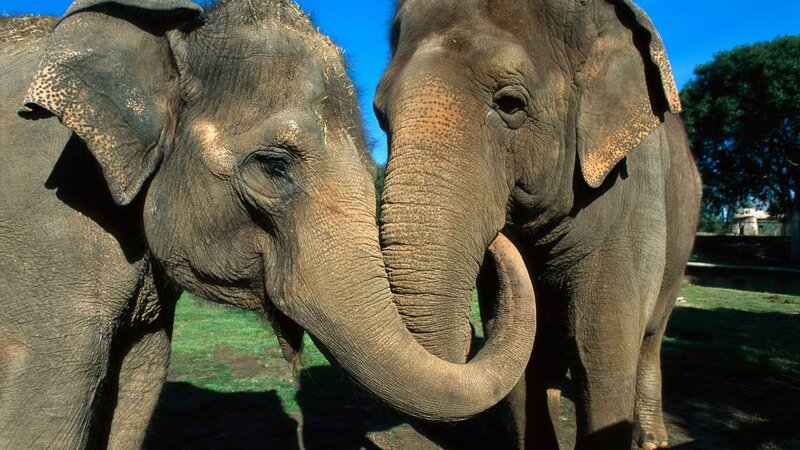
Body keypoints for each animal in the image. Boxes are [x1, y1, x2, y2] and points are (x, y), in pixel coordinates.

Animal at [374, 0, 702, 448]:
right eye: (379, 115)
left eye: (511, 104)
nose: (498, 236)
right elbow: (523, 354)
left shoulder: (635, 193)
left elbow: (603, 346)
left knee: (650, 337)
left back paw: (651, 440)